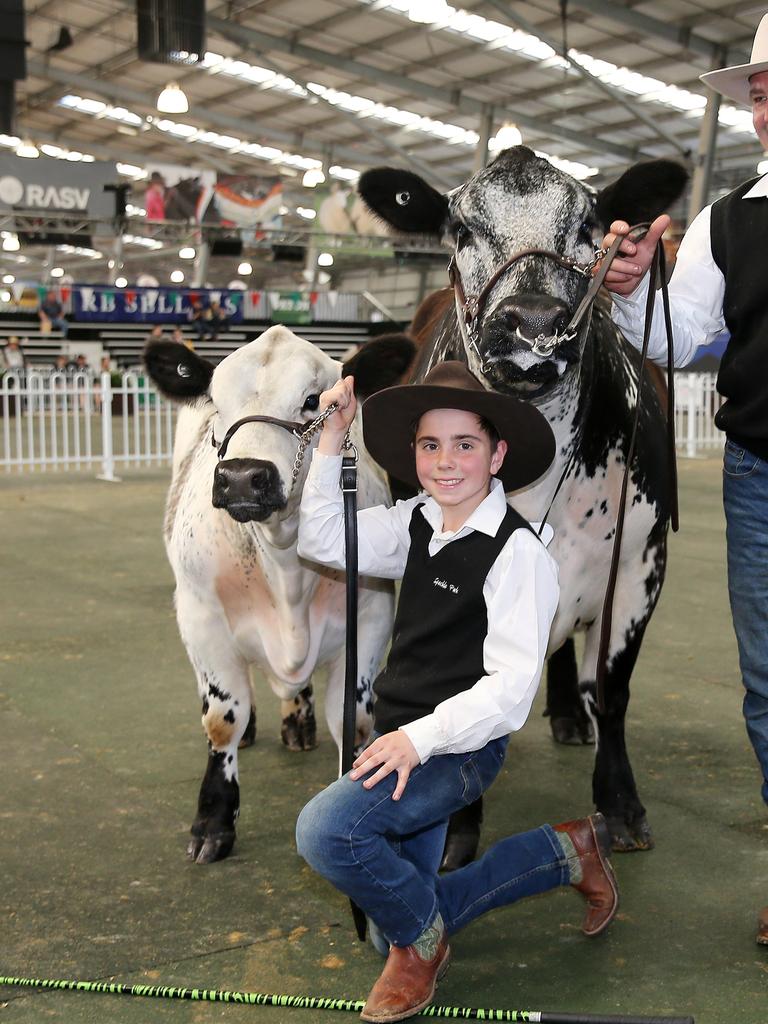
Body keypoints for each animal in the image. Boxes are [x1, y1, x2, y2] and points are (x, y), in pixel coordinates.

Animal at [145, 327, 397, 864]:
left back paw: (297, 721)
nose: (242, 476)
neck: (286, 569)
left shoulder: (372, 611)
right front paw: (213, 823)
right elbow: (222, 717)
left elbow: (354, 720)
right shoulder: (199, 613)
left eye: (312, 401)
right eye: (217, 404)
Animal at [360, 146, 692, 856]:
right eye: (460, 229)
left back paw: (570, 715)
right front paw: (455, 831)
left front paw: (621, 804)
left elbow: (613, 689)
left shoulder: (640, 560)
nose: (534, 322)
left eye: (591, 222)